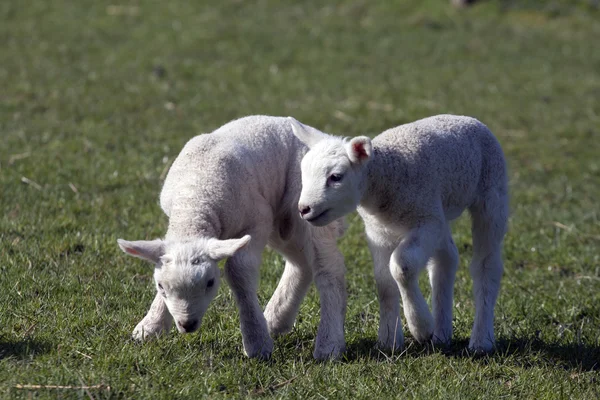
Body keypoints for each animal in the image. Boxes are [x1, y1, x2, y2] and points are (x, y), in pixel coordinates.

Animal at [116, 115, 346, 360]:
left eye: (210, 282)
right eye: (160, 286)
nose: (187, 325)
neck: (195, 200)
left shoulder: (257, 220)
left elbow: (238, 271)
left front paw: (256, 342)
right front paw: (150, 327)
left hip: (312, 209)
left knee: (328, 267)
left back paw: (329, 344)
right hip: (282, 220)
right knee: (300, 264)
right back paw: (275, 320)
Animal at [288, 115, 508, 354]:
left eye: (336, 177)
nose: (304, 209)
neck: (385, 177)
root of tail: (466, 118)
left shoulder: (425, 221)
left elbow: (402, 266)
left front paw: (421, 326)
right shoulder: (378, 232)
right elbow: (384, 281)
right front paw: (389, 340)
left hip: (491, 193)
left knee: (486, 265)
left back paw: (481, 340)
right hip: (440, 210)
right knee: (446, 258)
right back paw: (442, 335)